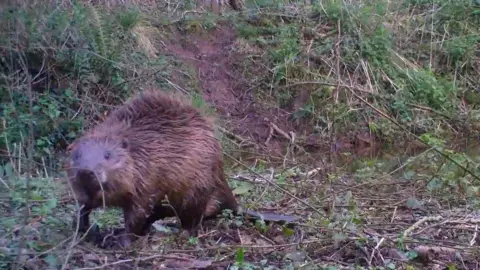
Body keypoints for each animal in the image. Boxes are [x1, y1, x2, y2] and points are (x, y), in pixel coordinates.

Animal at [65, 89, 298, 248]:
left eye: (108, 155)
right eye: (77, 155)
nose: (87, 172)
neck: (141, 149)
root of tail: (231, 198)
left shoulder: (148, 179)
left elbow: (136, 213)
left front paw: (123, 240)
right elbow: (84, 205)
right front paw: (82, 228)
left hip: (196, 189)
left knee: (196, 216)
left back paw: (180, 231)